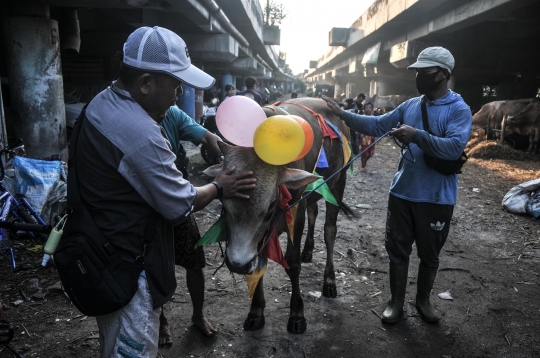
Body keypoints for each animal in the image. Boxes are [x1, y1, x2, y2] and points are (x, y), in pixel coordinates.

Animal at [204, 97, 354, 332]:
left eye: (271, 205)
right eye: (224, 205)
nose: (237, 264)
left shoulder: (295, 212)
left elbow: (292, 264)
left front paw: (297, 313)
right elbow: (258, 261)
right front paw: (256, 310)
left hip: (339, 182)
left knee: (330, 230)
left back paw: (329, 280)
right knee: (314, 211)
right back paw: (308, 250)